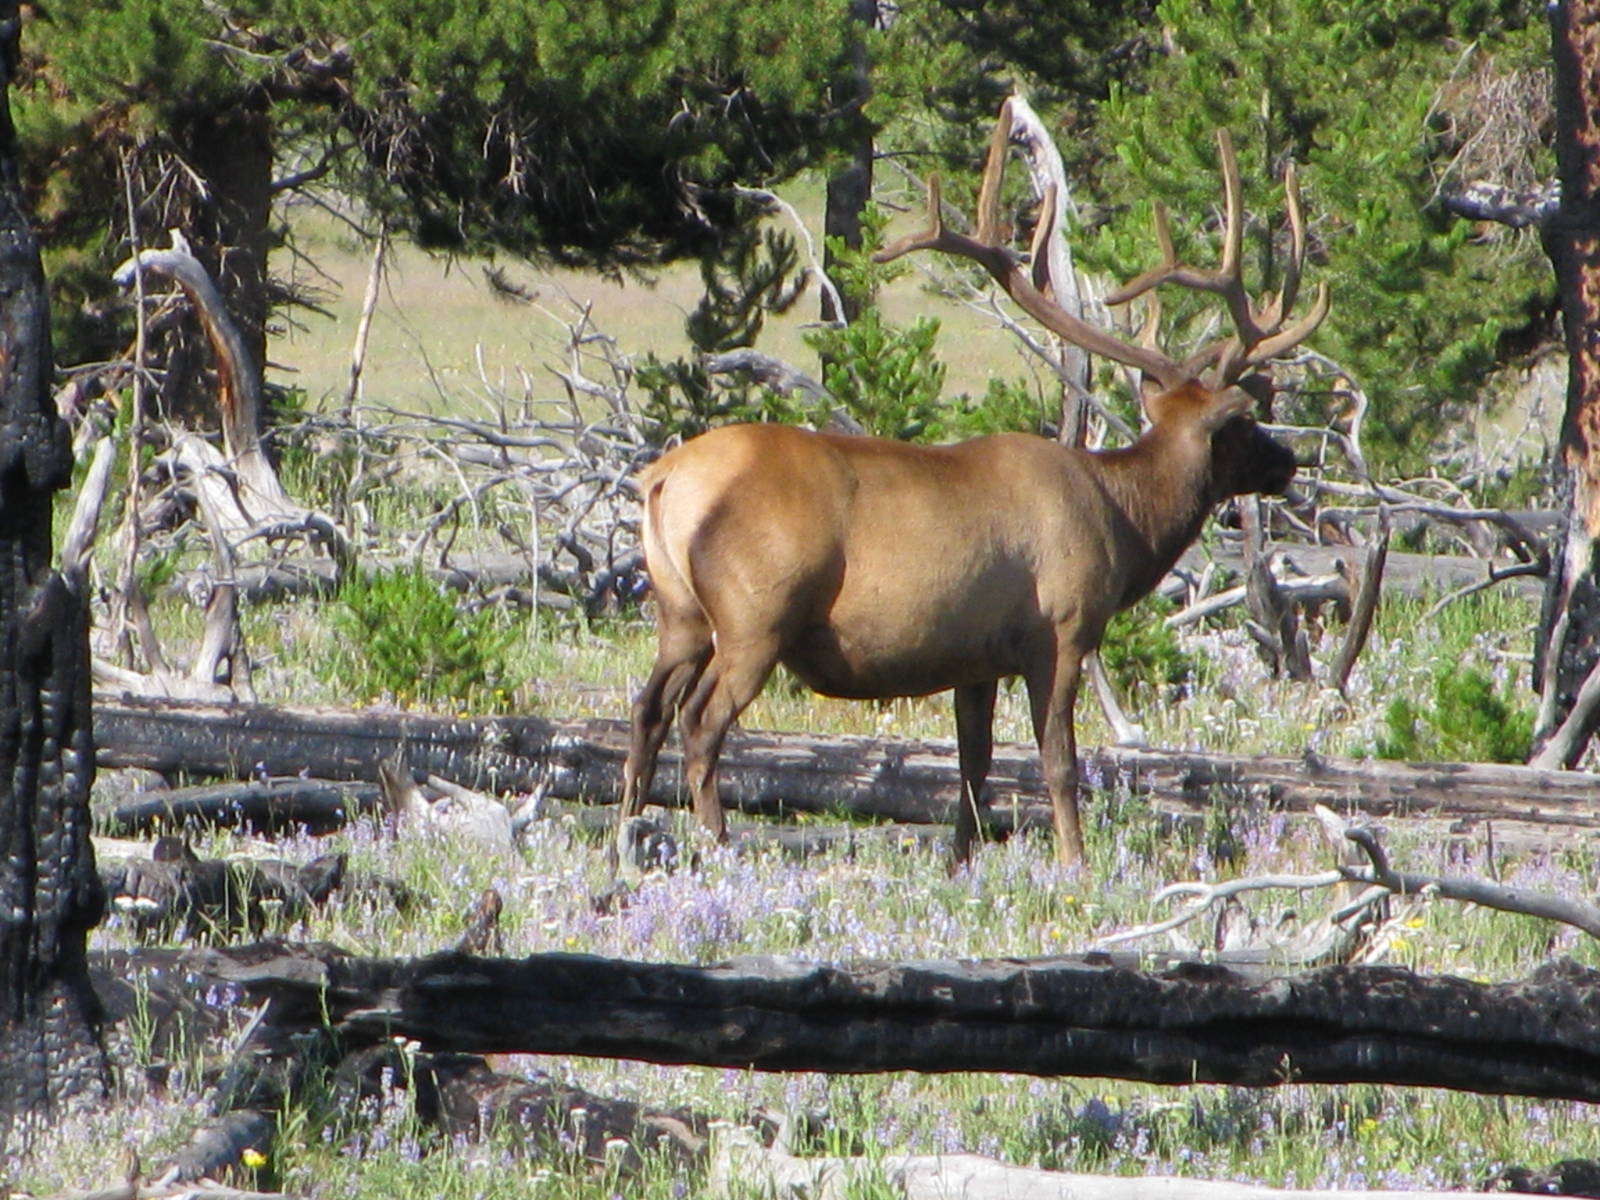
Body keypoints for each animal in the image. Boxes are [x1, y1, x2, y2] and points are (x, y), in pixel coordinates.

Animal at [617, 118, 1328, 870]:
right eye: (1244, 422)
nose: (1286, 461)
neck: (1125, 524)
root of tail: (662, 479)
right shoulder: (1062, 628)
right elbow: (1058, 762)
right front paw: (1074, 863)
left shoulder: (974, 657)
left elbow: (974, 766)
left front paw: (963, 860)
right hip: (757, 614)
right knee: (700, 721)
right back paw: (718, 845)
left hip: (680, 612)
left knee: (646, 710)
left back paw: (625, 842)